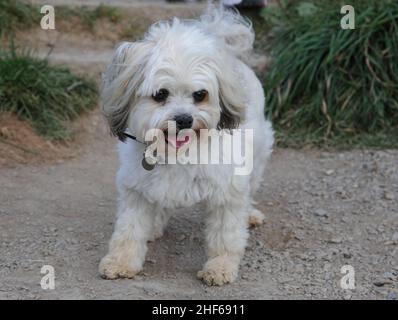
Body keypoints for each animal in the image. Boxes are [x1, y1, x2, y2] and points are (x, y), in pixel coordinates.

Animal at [98, 7, 274, 284]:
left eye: (200, 94)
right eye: (160, 94)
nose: (184, 119)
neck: (178, 152)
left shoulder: (228, 191)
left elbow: (225, 235)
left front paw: (220, 266)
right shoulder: (136, 189)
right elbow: (129, 230)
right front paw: (121, 261)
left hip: (257, 155)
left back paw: (250, 214)